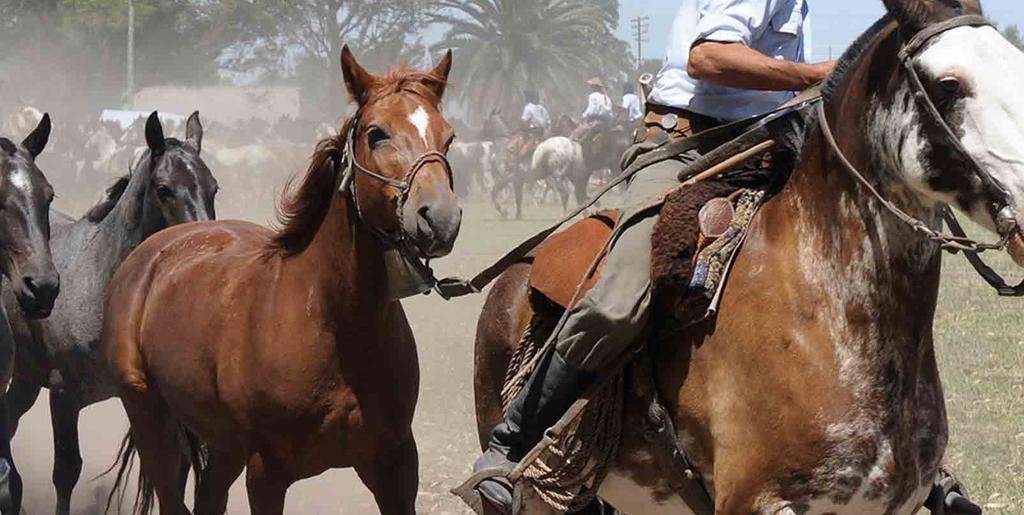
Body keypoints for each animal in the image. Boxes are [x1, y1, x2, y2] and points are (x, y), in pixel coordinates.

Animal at [1, 112, 218, 515]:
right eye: (164, 189)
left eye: (214, 188)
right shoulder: (63, 393)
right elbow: (66, 472)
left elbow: (173, 473)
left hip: (25, 377)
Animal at [103, 45, 460, 515]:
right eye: (377, 133)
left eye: (448, 137)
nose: (440, 218)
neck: (333, 325)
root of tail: (151, 252)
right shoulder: (267, 473)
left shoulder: (395, 465)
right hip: (150, 417)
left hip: (223, 445)